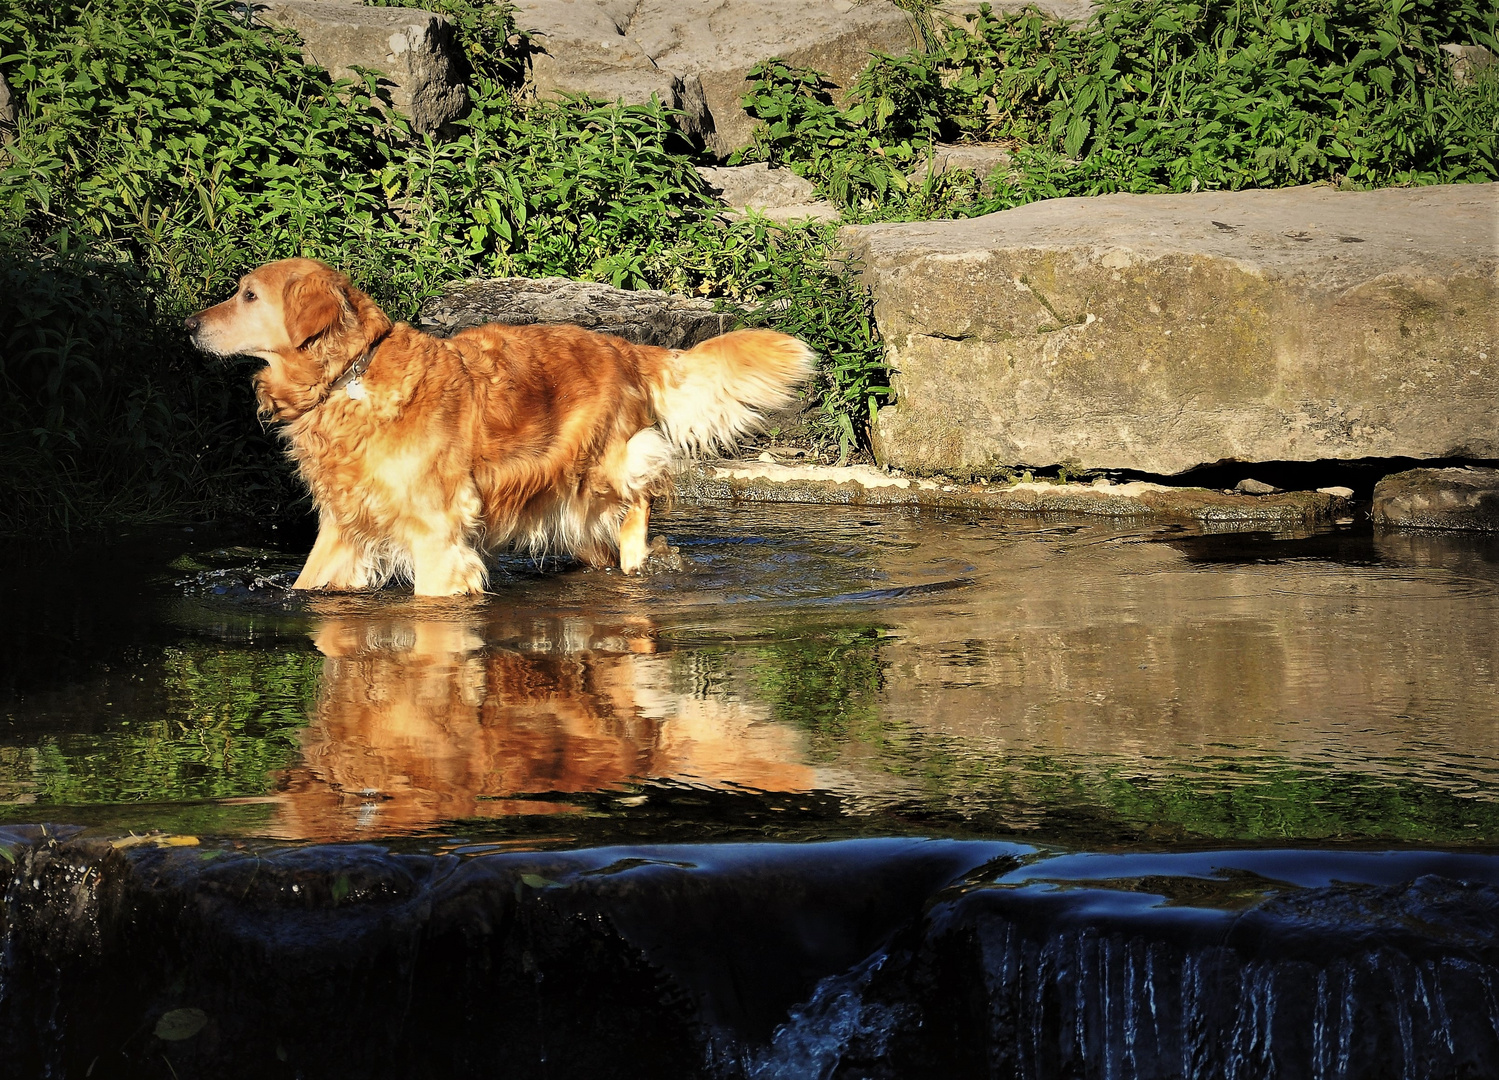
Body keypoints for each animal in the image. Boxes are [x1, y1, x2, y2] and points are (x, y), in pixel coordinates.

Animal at [191, 262, 815, 600]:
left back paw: (641, 554)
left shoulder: (437, 534)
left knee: (642, 493)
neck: (349, 378)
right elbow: (308, 583)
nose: (190, 324)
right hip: (572, 514)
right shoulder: (344, 530)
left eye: (248, 295)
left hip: (605, 469)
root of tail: (623, 346)